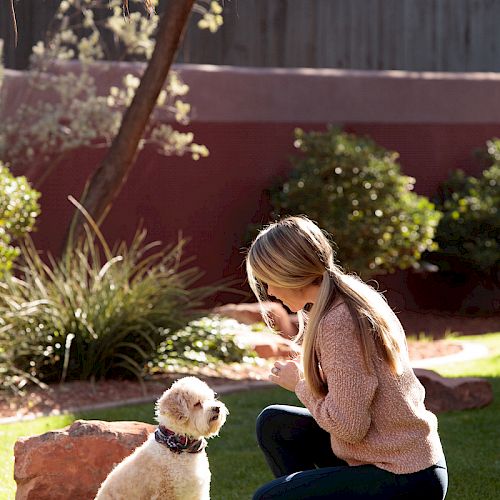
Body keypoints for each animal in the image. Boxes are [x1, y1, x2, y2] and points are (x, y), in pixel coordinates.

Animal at [94, 376, 228, 498]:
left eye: (211, 398)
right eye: (197, 403)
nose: (217, 408)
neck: (180, 447)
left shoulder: (198, 493)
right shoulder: (166, 493)